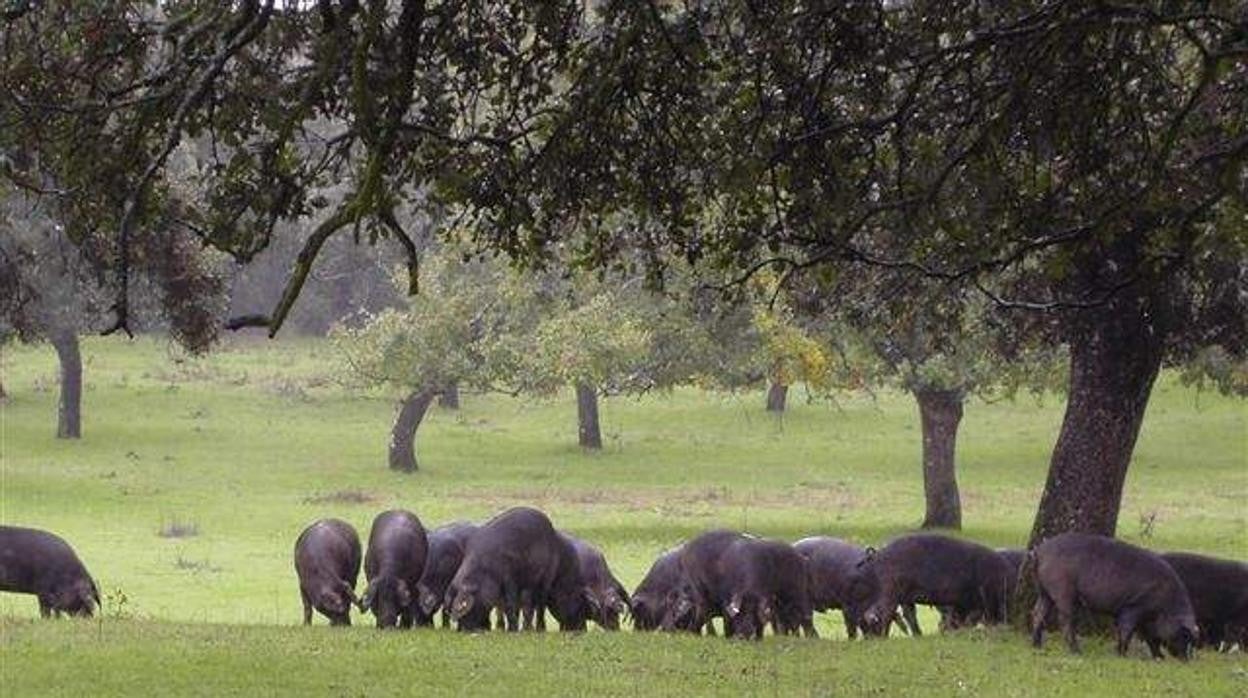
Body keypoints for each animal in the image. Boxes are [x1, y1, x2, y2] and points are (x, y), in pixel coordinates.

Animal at [858, 531, 1013, 636]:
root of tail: (879, 553)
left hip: (900, 594)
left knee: (899, 614)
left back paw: (917, 635)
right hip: (892, 589)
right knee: (882, 612)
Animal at [1033, 534, 1198, 659]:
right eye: (1184, 635)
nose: (1186, 660)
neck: (1165, 605)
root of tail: (1040, 551)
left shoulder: (1146, 620)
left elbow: (1151, 638)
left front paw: (1159, 658)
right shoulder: (1133, 607)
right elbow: (1127, 630)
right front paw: (1122, 655)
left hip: (1044, 592)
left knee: (1037, 613)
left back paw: (1036, 645)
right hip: (1063, 591)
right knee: (1065, 620)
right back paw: (1077, 652)